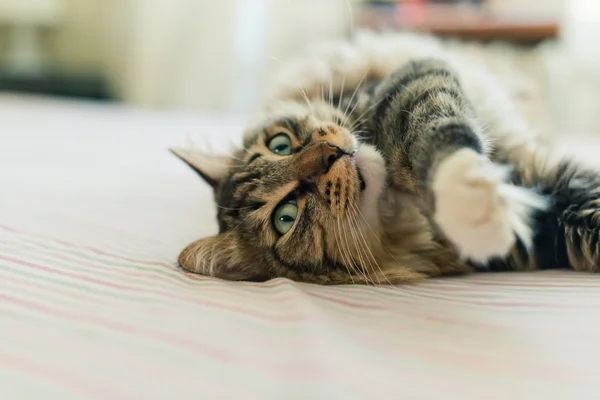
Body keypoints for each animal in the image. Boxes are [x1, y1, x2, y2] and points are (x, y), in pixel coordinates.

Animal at [169, 32, 600, 284]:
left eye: (279, 145)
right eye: (285, 218)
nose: (330, 154)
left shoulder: (411, 82)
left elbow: (438, 131)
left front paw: (468, 192)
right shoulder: (543, 228)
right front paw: (477, 206)